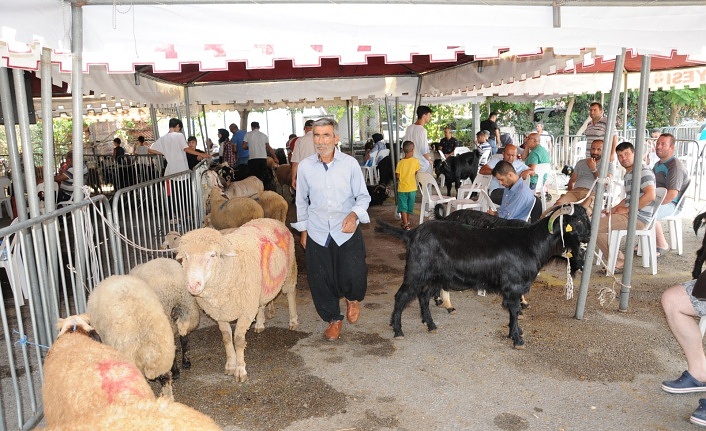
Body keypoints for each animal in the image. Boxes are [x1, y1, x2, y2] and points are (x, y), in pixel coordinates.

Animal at [177, 219, 298, 382]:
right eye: (186, 256)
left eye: (213, 255)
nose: (193, 285)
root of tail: (271, 220)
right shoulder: (221, 313)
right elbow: (227, 339)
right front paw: (230, 365)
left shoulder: (245, 311)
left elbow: (239, 340)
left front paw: (240, 370)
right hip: (258, 289)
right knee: (261, 304)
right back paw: (259, 323)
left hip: (289, 271)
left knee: (291, 294)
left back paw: (293, 321)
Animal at [376, 204, 592, 350]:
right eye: (578, 221)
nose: (589, 237)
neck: (533, 243)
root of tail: (411, 233)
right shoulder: (514, 286)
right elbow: (514, 311)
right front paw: (518, 339)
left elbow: (513, 312)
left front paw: (515, 333)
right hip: (416, 271)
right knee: (402, 296)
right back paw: (398, 330)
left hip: (434, 275)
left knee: (423, 296)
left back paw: (430, 325)